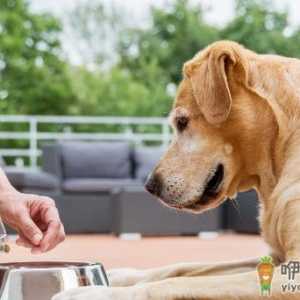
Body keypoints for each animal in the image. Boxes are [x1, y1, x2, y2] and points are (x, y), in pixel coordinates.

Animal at [52, 41, 300, 298]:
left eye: (182, 122)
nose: (150, 185)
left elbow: (179, 283)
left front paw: (96, 292)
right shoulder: (272, 258)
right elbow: (183, 267)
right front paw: (121, 276)